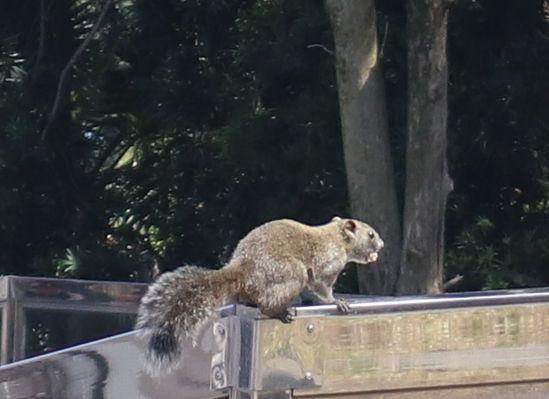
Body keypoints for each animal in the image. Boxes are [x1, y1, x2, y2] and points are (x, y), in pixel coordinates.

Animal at [135, 217, 384, 374]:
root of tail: (241, 270)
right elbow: (322, 287)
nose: (381, 245)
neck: (337, 239)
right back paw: (281, 312)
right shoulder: (326, 264)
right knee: (267, 304)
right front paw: (338, 302)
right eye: (370, 234)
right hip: (291, 273)